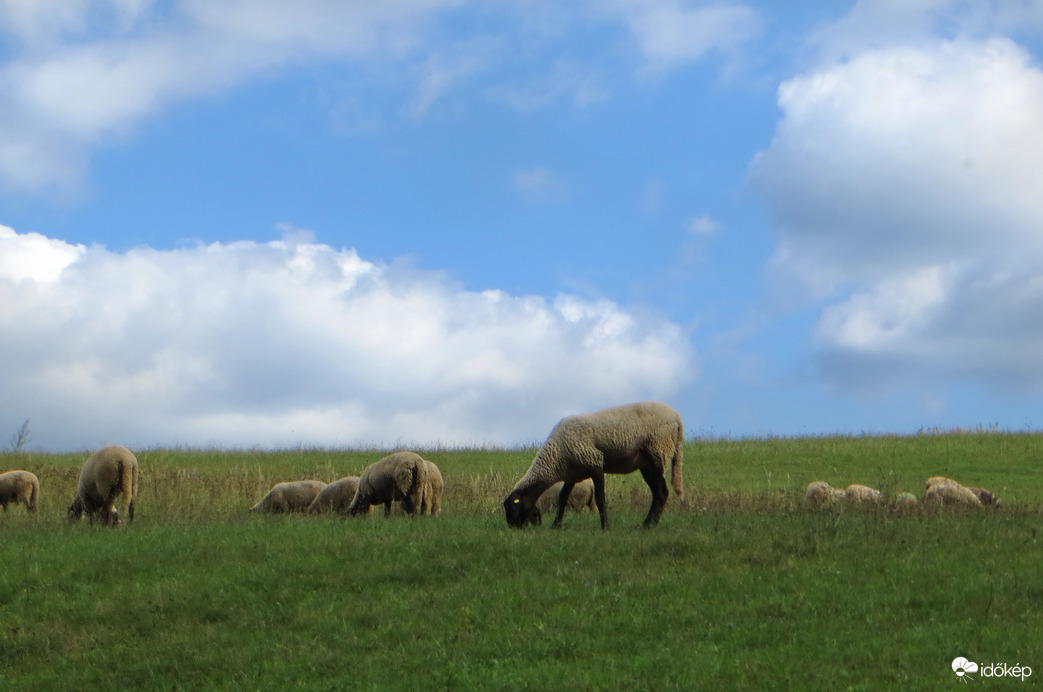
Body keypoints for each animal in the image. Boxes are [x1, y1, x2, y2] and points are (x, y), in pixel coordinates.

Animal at [502, 400, 684, 530]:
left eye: (513, 507)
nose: (513, 528)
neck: (555, 457)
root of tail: (677, 417)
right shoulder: (573, 474)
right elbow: (562, 498)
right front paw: (556, 526)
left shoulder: (595, 465)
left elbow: (600, 498)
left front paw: (605, 527)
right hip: (646, 463)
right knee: (658, 493)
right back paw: (647, 524)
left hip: (658, 451)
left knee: (662, 492)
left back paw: (648, 526)